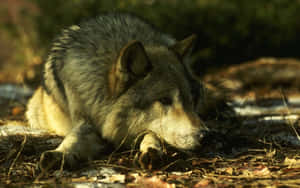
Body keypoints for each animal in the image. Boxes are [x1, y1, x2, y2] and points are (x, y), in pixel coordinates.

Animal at [26, 12, 220, 170]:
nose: (206, 136)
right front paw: (61, 153)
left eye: (191, 100)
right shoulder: (85, 121)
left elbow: (152, 134)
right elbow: (74, 137)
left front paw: (151, 150)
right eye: (165, 100)